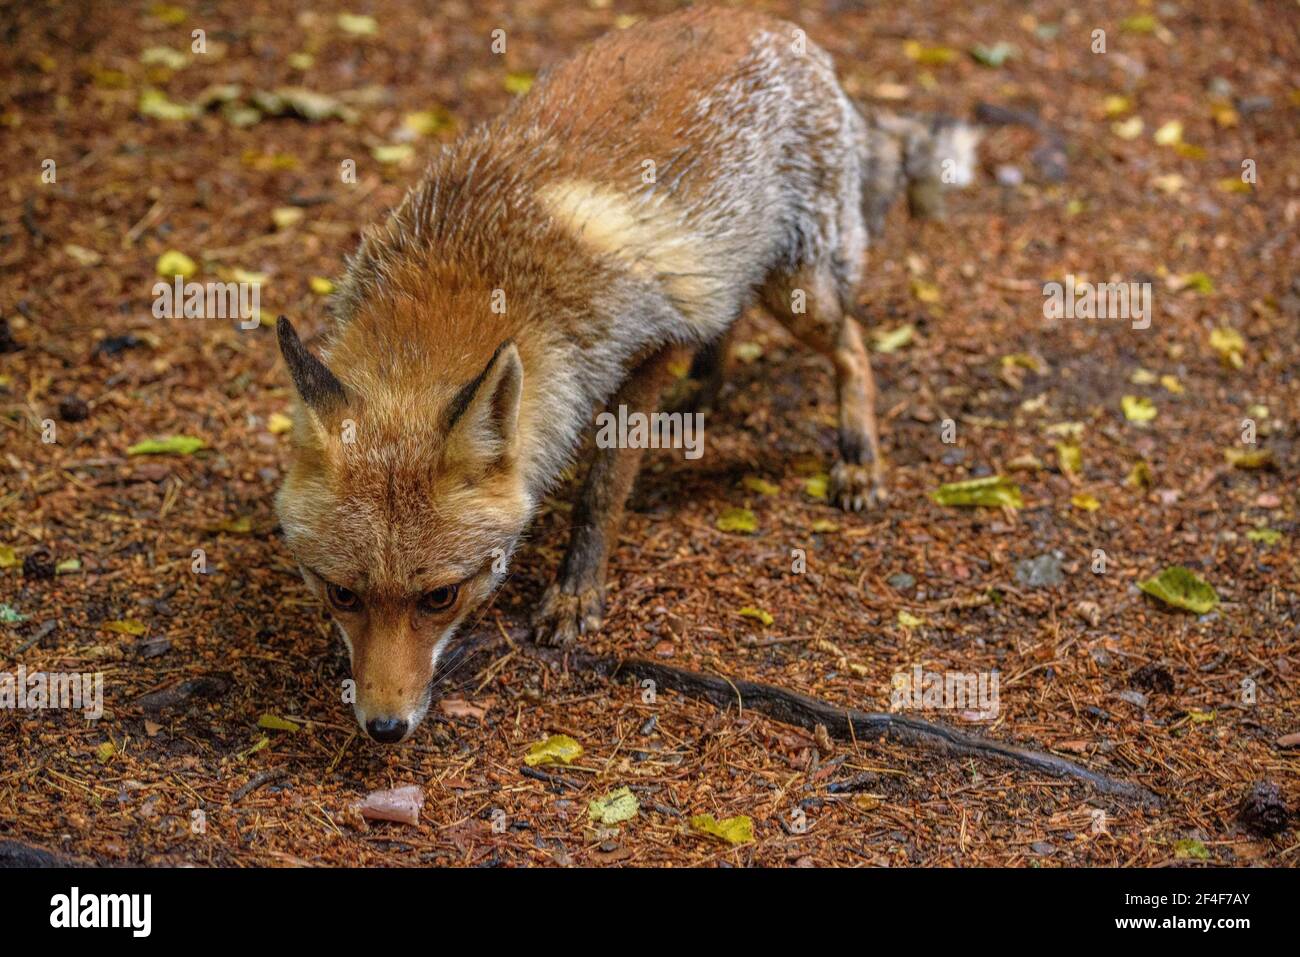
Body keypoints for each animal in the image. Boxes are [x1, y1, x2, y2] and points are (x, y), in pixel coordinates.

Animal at [275, 7, 978, 743]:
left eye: (440, 596)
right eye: (342, 593)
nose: (384, 726)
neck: (465, 278)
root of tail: (769, 21)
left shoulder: (648, 348)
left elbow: (603, 491)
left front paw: (577, 591)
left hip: (797, 291)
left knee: (853, 345)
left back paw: (858, 454)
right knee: (733, 318)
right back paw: (708, 390)